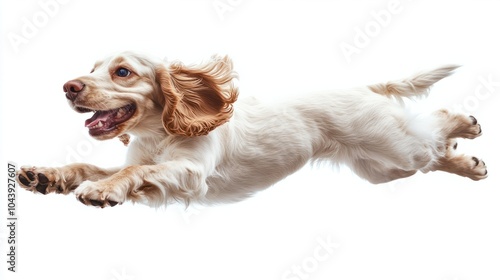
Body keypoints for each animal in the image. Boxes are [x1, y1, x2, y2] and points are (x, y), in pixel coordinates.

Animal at [16, 51, 488, 207]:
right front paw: (46, 176)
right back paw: (472, 161)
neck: (161, 132)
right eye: (92, 67)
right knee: (433, 154)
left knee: (433, 131)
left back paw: (468, 125)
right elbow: (90, 165)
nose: (68, 87)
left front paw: (103, 191)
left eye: (122, 72)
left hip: (395, 150)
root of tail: (362, 87)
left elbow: (133, 172)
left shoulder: (192, 174)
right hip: (381, 169)